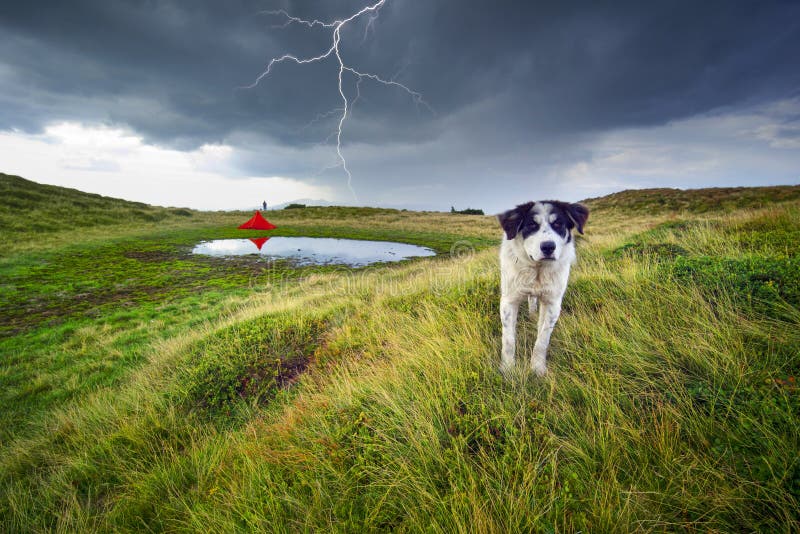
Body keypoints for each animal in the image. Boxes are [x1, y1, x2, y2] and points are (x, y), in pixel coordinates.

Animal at [496, 201, 592, 376]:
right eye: (531, 225)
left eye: (558, 224)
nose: (548, 247)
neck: (537, 270)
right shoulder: (508, 301)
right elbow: (508, 339)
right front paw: (507, 368)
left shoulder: (552, 303)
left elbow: (542, 339)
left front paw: (537, 368)